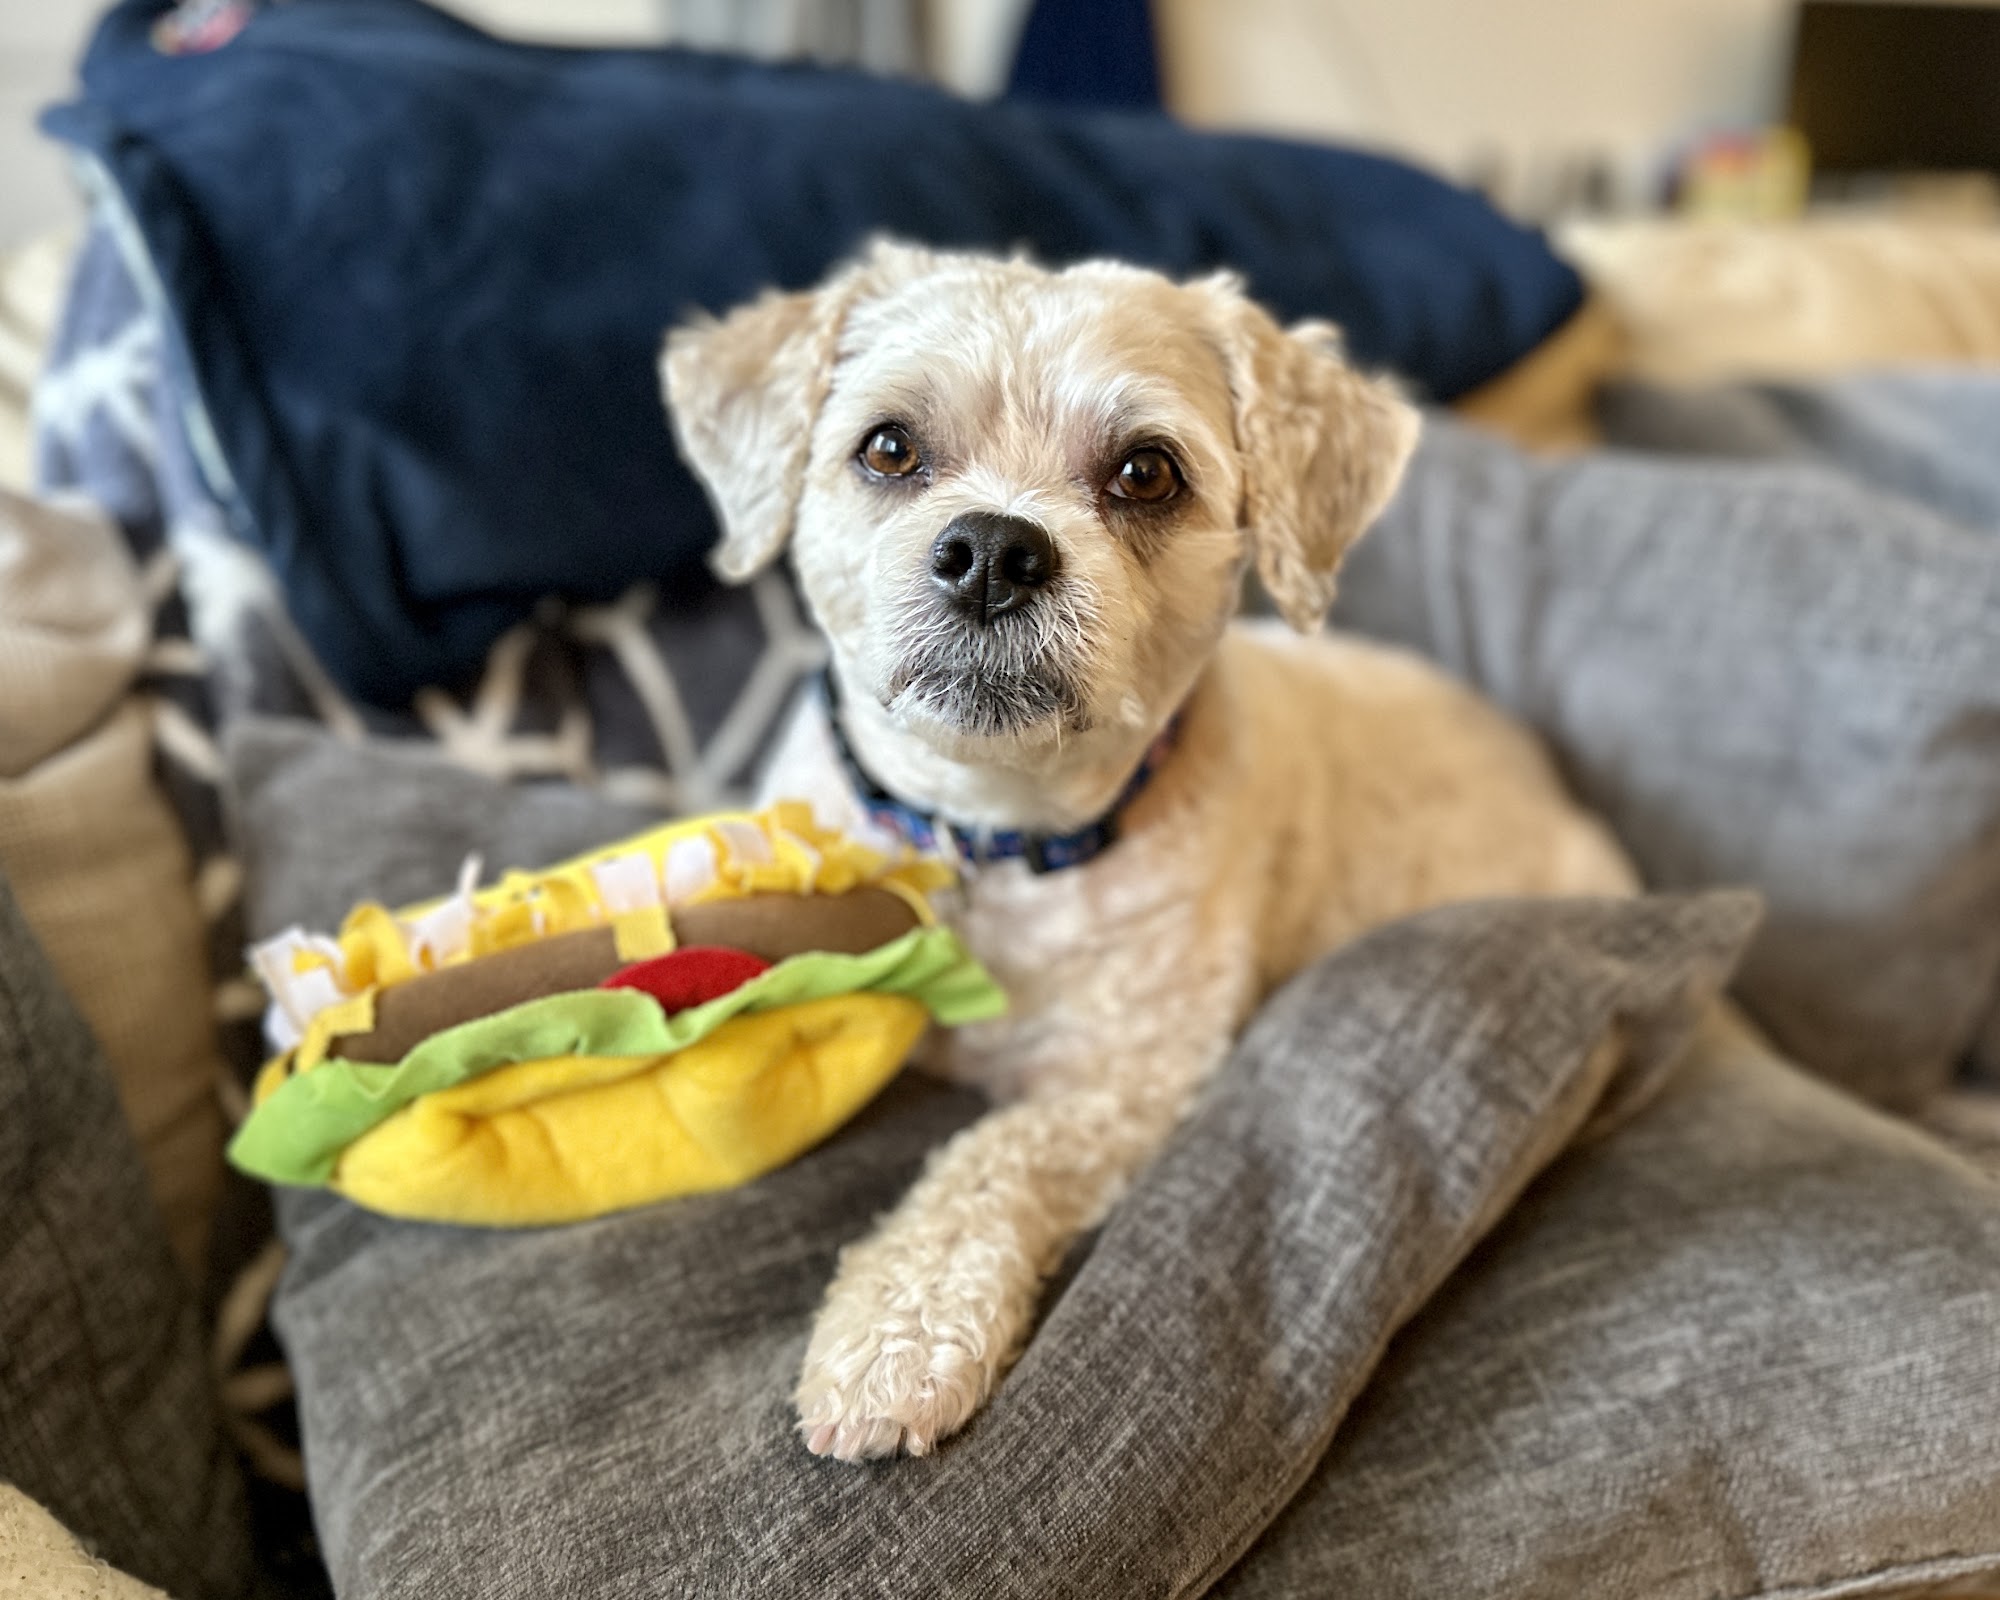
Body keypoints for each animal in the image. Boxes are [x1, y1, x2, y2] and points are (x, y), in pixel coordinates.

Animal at [662, 241, 1634, 1464]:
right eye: (887, 447)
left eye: (1145, 472)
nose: (993, 551)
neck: (992, 834)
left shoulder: (1135, 1078)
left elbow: (996, 1154)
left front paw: (898, 1330)